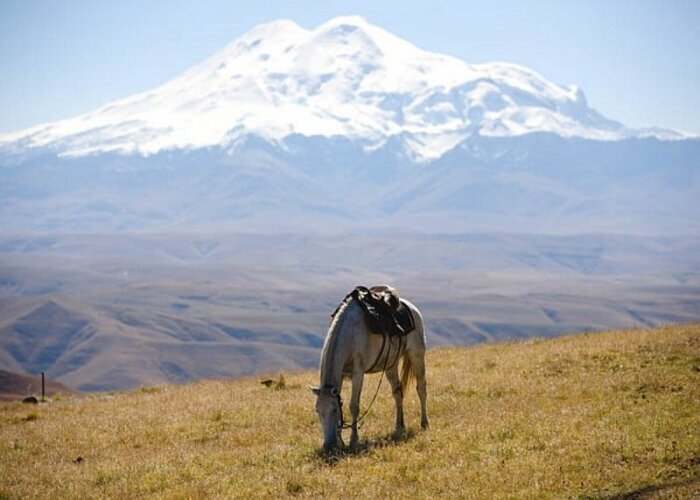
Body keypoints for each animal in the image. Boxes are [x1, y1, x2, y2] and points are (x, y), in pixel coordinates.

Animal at [310, 288, 430, 452]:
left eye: (334, 410)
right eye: (317, 410)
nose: (329, 445)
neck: (350, 333)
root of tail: (412, 308)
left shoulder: (358, 374)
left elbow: (354, 406)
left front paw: (353, 440)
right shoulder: (341, 375)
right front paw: (341, 441)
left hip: (416, 355)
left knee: (421, 388)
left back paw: (424, 423)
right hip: (391, 365)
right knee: (398, 393)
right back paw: (399, 426)